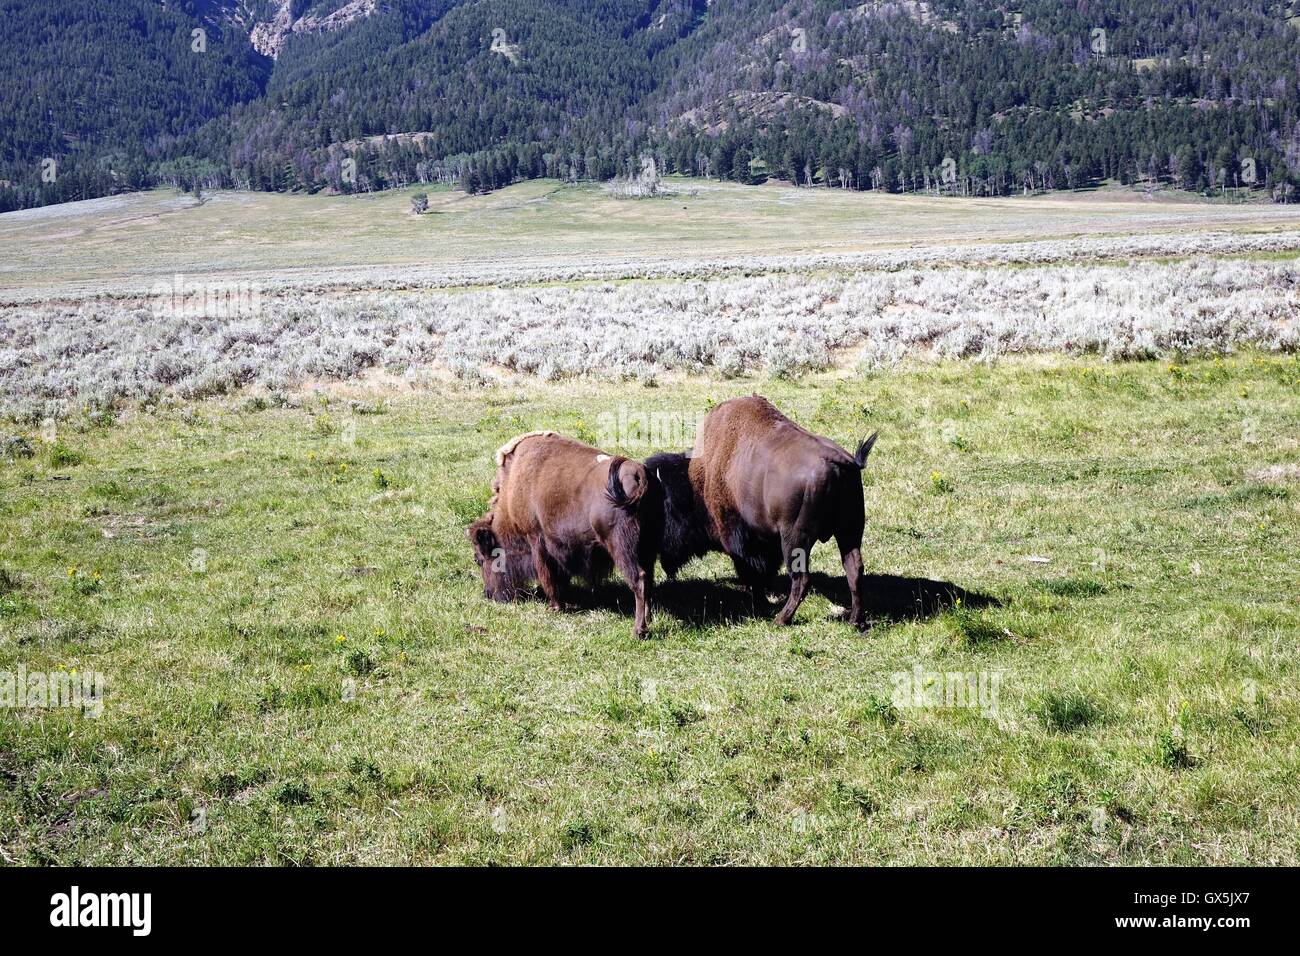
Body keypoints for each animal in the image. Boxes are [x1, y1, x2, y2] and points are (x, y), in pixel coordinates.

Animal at [467, 431, 661, 639]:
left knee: (638, 580)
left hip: (622, 548)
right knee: (648, 580)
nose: (488, 594)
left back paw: (638, 630)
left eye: (479, 559)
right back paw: (649, 619)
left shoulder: (536, 540)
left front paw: (555, 606)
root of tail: (639, 473)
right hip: (647, 548)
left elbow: (547, 575)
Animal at [647, 396, 876, 627]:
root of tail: (839, 460)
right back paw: (855, 620)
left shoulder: (739, 538)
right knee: (854, 569)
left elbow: (751, 568)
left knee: (801, 579)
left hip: (795, 539)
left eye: (666, 508)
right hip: (849, 531)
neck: (699, 480)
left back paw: (781, 619)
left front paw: (758, 597)